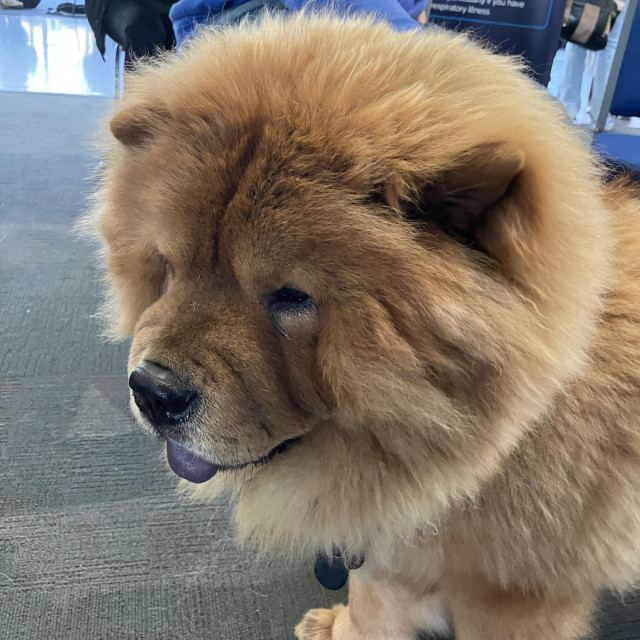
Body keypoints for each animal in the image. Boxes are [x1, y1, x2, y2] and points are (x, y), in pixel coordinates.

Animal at [87, 14, 640, 639]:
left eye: (291, 297)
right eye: (171, 267)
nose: (152, 391)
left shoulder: (514, 601)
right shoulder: (394, 545)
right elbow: (372, 598)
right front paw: (342, 624)